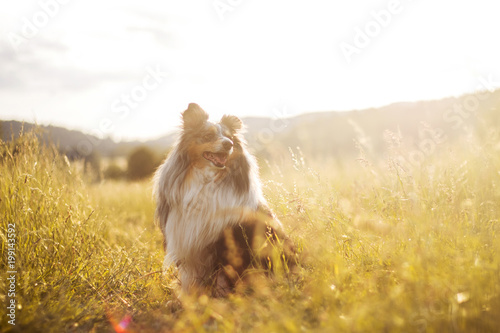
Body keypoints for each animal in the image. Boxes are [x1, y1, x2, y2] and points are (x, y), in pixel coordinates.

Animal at [154, 102, 294, 294]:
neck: (206, 180)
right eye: (208, 135)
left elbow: (223, 275)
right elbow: (190, 279)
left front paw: (221, 296)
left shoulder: (225, 239)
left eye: (230, 138)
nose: (229, 144)